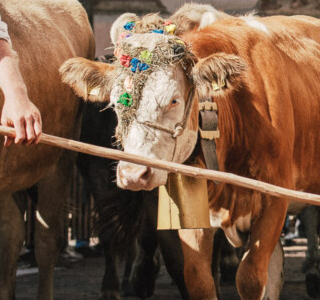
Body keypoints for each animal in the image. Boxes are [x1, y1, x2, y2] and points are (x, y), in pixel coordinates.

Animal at [59, 4, 320, 300]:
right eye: (115, 104)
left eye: (174, 100)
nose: (134, 174)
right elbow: (197, 278)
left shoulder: (274, 200)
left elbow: (251, 278)